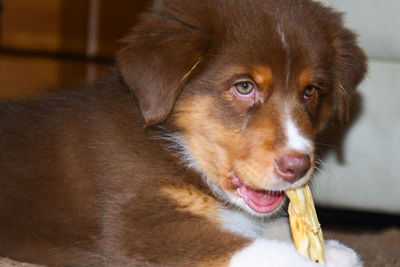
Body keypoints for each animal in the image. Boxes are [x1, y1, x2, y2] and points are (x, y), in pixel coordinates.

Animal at [0, 0, 366, 266]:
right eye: (244, 87)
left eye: (310, 92)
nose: (298, 167)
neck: (176, 148)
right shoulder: (138, 224)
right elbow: (257, 249)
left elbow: (264, 226)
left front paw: (334, 250)